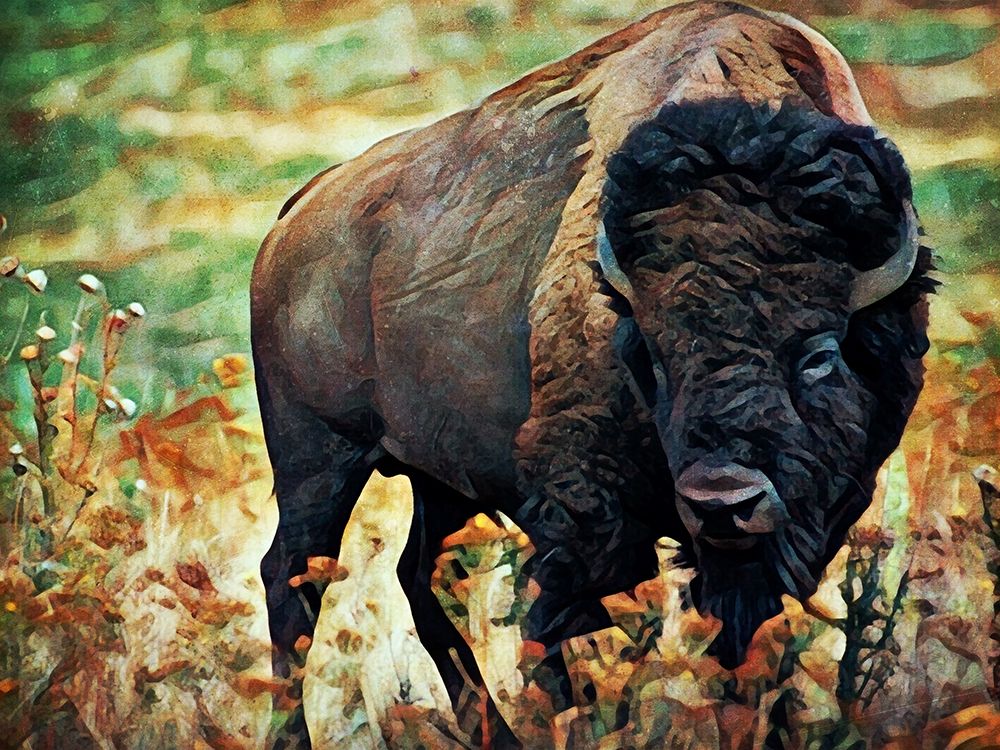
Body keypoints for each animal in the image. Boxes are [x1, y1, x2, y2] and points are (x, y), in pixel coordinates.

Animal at [250, 1, 932, 746]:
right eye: (654, 355)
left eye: (819, 352)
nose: (723, 498)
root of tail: (298, 211)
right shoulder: (583, 520)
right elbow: (564, 634)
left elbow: (747, 642)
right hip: (317, 461)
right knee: (290, 579)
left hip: (439, 478)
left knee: (414, 573)